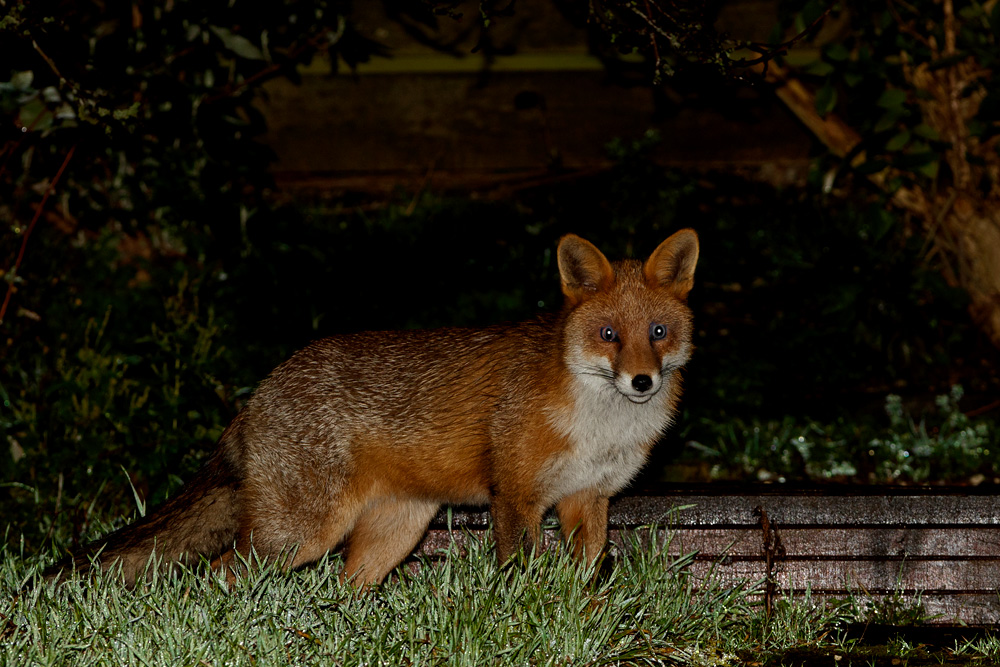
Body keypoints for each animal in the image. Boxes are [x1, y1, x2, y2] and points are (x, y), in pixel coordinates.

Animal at [49, 230, 699, 587]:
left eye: (658, 333)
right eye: (610, 335)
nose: (642, 381)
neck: (600, 427)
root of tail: (256, 393)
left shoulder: (586, 499)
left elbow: (588, 579)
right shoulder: (516, 495)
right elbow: (522, 575)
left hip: (395, 532)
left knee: (346, 587)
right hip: (297, 535)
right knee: (218, 573)